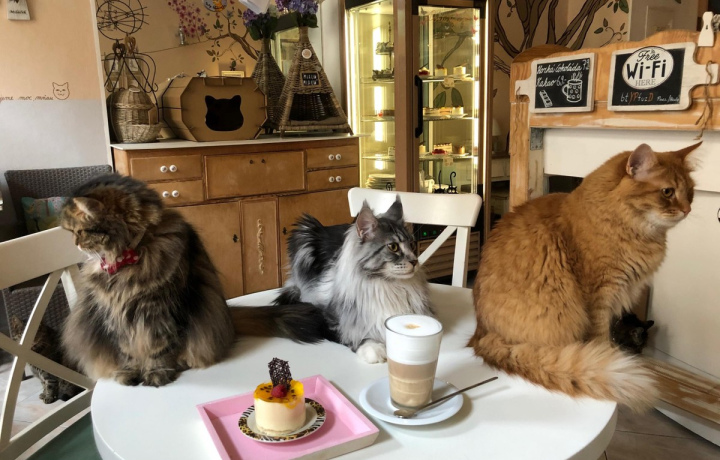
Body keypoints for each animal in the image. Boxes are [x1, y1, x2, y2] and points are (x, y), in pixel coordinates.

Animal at [60, 174, 325, 386]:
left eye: (80, 232)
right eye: (71, 233)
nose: (75, 243)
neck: (130, 258)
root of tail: (228, 317)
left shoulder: (162, 312)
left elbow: (159, 349)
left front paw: (157, 373)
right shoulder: (116, 316)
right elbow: (128, 351)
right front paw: (130, 372)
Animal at [273, 198, 432, 363]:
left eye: (412, 245)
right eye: (393, 247)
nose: (414, 261)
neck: (386, 285)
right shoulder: (329, 318)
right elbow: (354, 335)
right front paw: (373, 348)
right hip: (304, 233)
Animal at [468, 142, 700, 411]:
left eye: (691, 192)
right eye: (667, 192)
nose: (687, 210)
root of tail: (480, 335)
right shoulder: (600, 294)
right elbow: (600, 334)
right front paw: (606, 352)